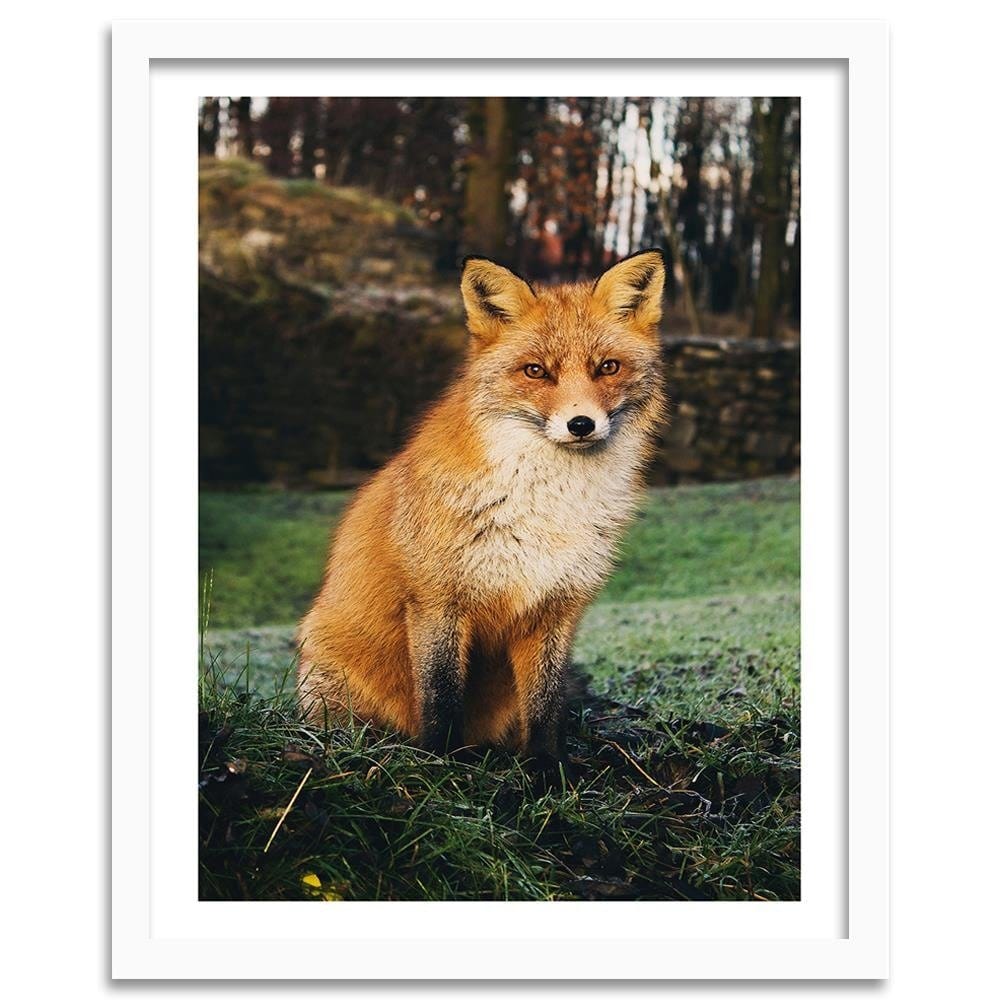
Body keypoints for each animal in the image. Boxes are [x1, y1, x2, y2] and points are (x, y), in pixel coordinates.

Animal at [297, 248, 667, 759]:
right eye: (536, 371)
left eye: (607, 368)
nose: (581, 424)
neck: (545, 509)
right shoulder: (437, 602)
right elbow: (441, 698)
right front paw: (439, 761)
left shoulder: (556, 608)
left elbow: (545, 706)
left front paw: (547, 768)